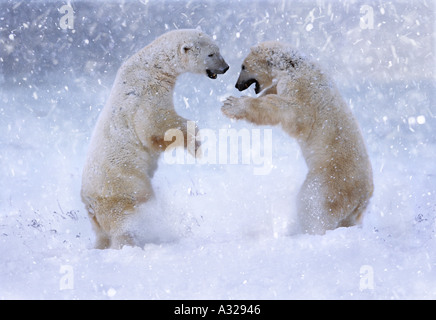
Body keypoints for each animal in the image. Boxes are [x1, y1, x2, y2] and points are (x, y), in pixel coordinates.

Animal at [81, 30, 228, 249]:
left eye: (218, 50)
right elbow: (155, 125)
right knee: (127, 222)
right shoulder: (146, 93)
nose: (225, 67)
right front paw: (196, 146)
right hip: (123, 188)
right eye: (211, 54)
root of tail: (90, 204)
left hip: (101, 215)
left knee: (103, 235)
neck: (152, 65)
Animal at [223, 41, 372, 234]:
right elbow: (274, 92)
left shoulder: (303, 88)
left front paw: (231, 104)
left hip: (331, 182)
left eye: (243, 66)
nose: (237, 85)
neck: (295, 65)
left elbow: (291, 111)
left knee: (312, 204)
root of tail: (363, 198)